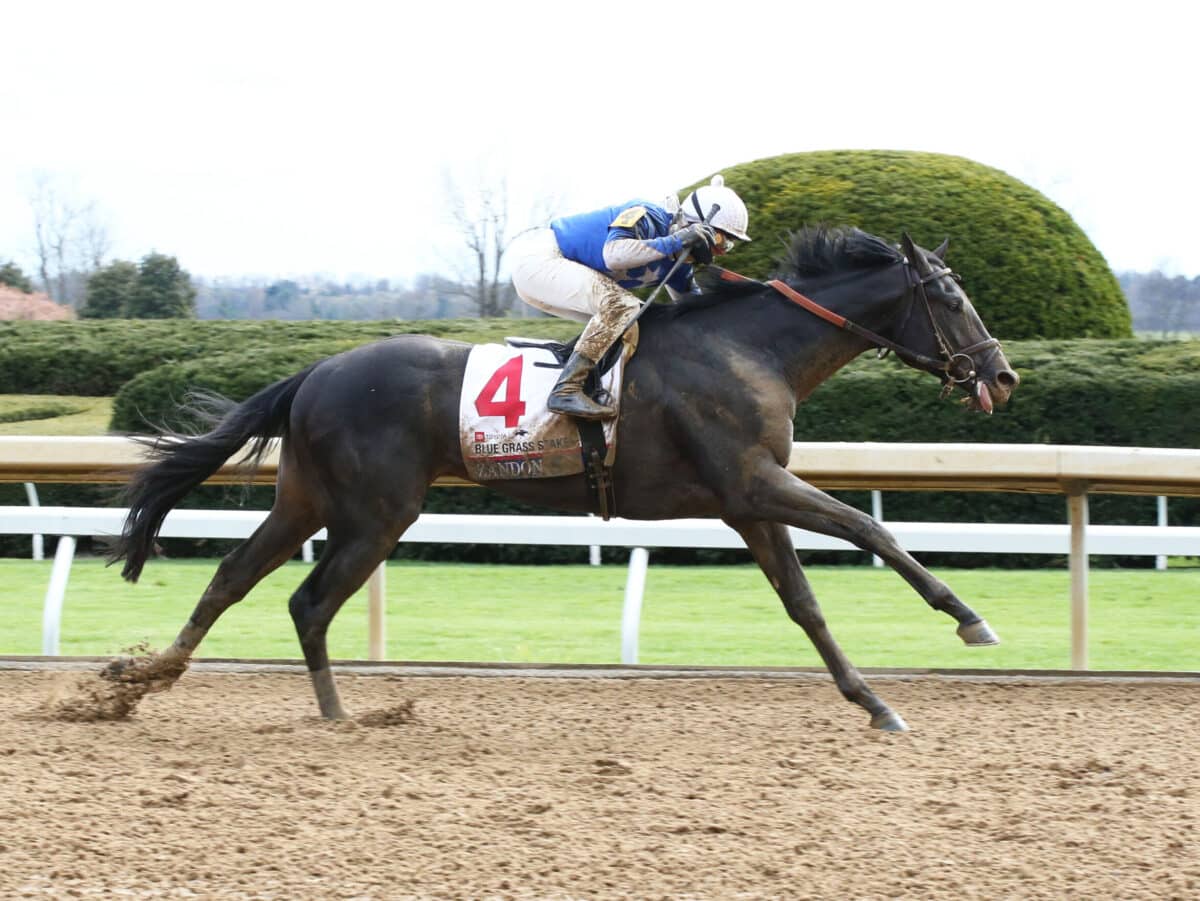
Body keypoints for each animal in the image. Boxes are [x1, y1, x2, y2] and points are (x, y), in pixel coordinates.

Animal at [112, 229, 1017, 729]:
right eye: (953, 298)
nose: (1001, 376)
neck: (747, 348)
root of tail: (316, 370)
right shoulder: (752, 483)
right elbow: (872, 528)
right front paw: (969, 618)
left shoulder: (747, 502)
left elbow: (806, 605)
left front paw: (874, 702)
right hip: (376, 512)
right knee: (307, 600)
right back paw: (334, 712)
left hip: (308, 498)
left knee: (233, 575)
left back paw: (146, 677)